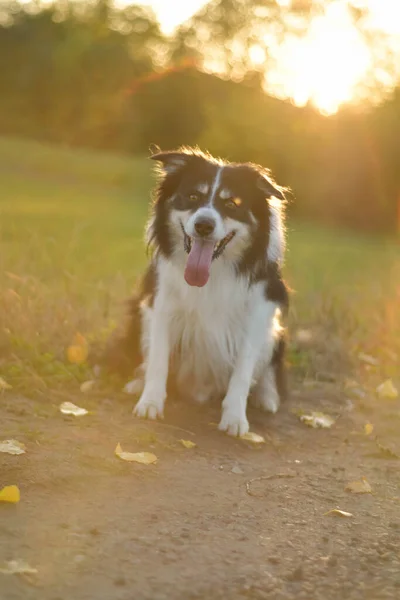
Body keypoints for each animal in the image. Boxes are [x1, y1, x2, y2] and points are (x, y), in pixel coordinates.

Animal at [101, 145, 290, 436]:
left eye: (231, 204)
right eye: (192, 196)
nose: (203, 226)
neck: (213, 273)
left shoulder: (260, 310)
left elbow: (243, 369)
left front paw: (235, 417)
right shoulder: (161, 303)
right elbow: (158, 357)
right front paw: (150, 402)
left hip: (275, 332)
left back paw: (267, 396)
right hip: (141, 314)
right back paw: (137, 382)